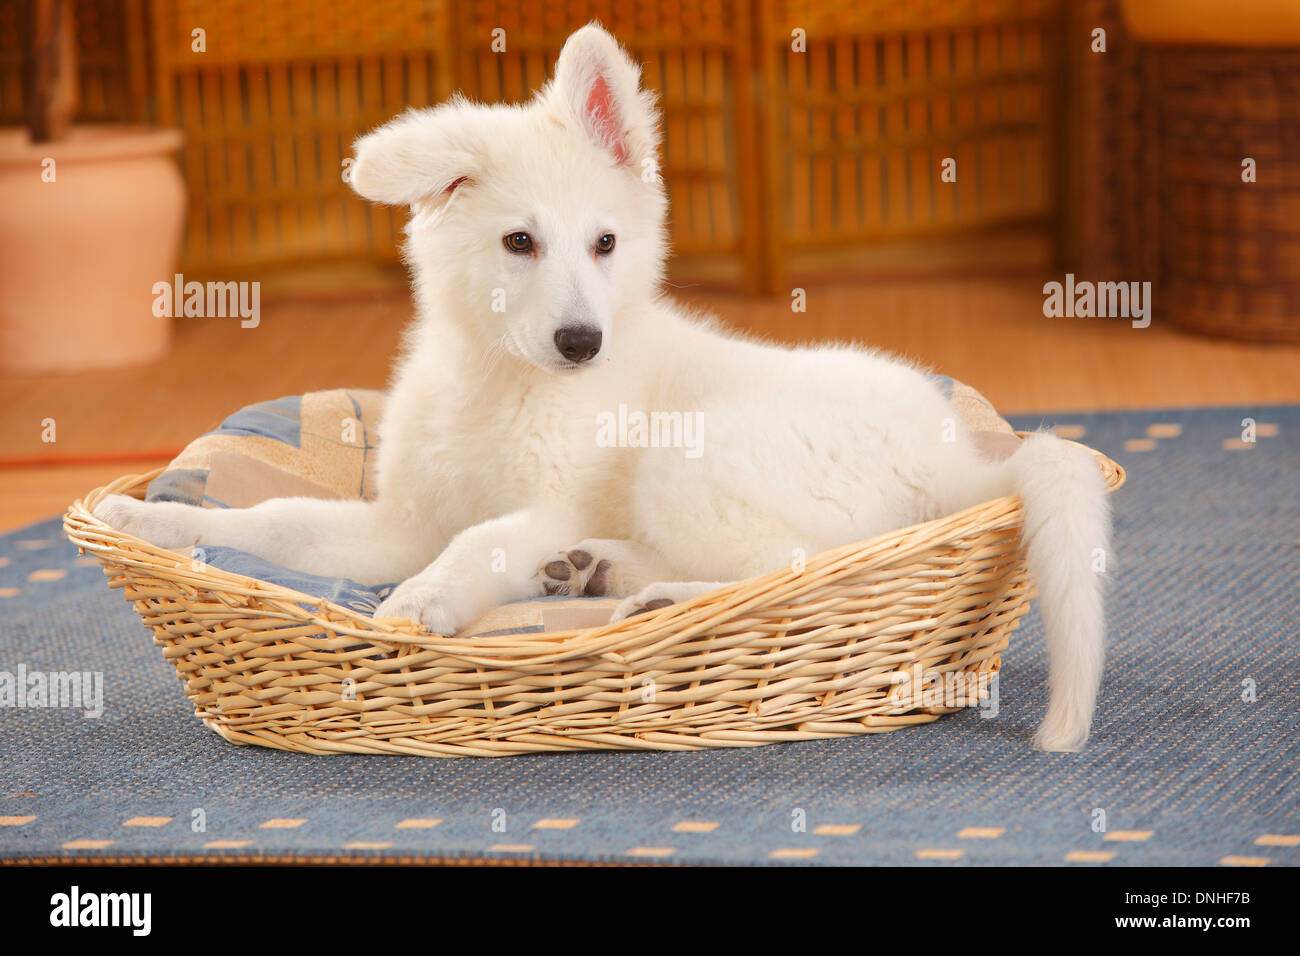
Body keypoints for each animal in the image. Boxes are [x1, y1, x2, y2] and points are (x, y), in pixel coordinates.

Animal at [96, 26, 1112, 749]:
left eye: (606, 244)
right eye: (519, 242)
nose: (583, 342)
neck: (503, 380)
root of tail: (965, 465)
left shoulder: (543, 502)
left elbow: (480, 541)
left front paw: (423, 603)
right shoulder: (398, 522)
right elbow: (271, 523)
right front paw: (150, 519)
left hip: (697, 459)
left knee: (799, 568)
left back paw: (651, 596)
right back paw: (600, 572)